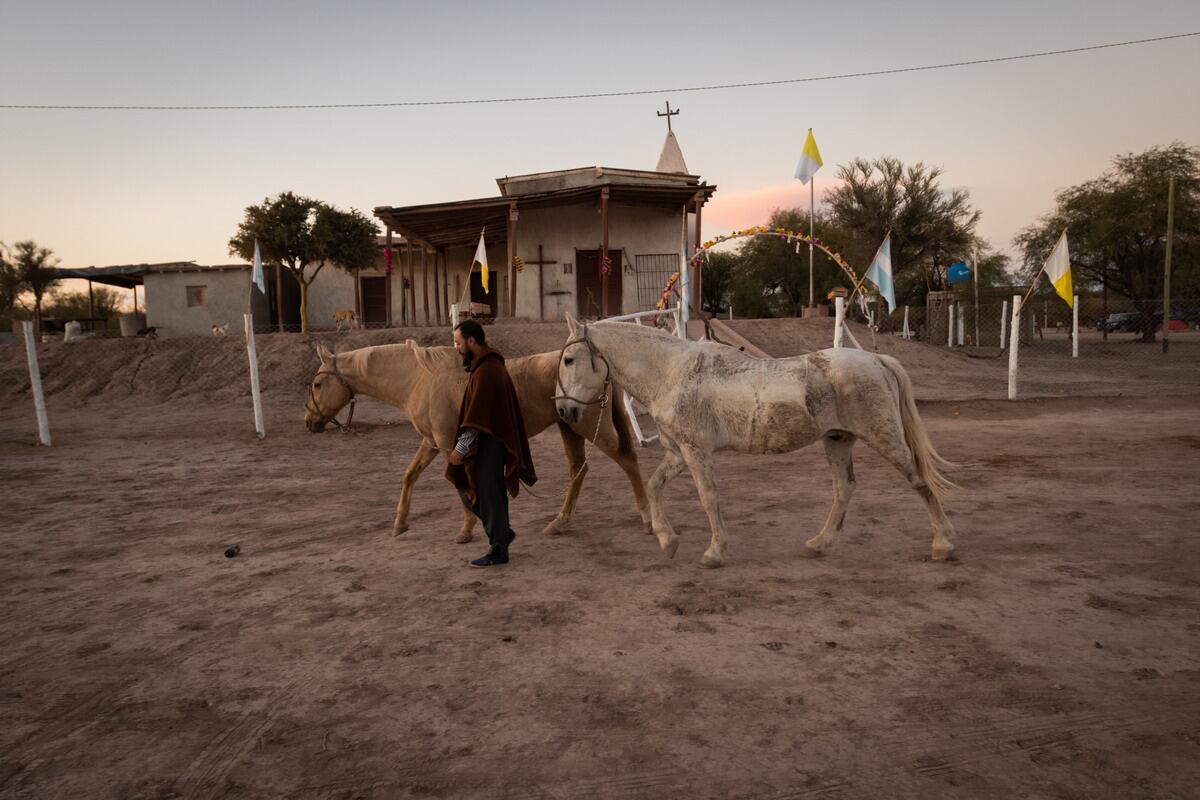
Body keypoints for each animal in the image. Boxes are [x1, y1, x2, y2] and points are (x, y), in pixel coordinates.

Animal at [304, 340, 652, 542]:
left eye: (318, 384)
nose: (309, 422)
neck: (420, 379)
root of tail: (601, 368)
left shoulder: (448, 443)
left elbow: (460, 484)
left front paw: (467, 529)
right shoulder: (431, 442)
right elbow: (409, 476)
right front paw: (400, 523)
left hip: (590, 428)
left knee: (628, 461)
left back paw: (648, 519)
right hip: (570, 429)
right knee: (578, 471)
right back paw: (559, 522)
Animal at [552, 314, 955, 568]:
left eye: (569, 359)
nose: (564, 411)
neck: (670, 372)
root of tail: (877, 360)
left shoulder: (696, 453)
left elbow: (708, 498)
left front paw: (714, 553)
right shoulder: (678, 453)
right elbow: (652, 486)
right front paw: (668, 541)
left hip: (884, 438)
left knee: (919, 481)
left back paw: (943, 545)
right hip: (838, 441)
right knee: (844, 489)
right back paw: (819, 544)